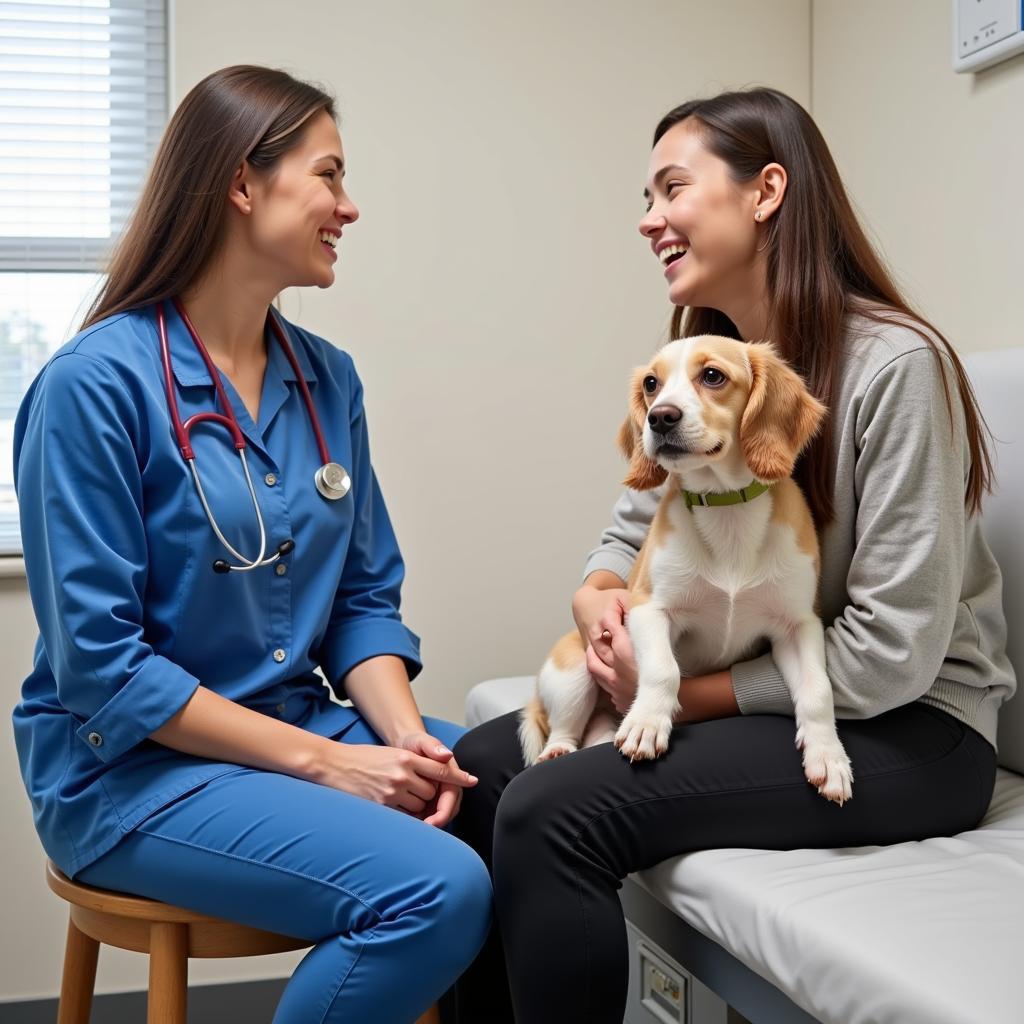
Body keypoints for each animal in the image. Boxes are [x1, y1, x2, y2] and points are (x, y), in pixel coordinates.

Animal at [520, 335, 856, 806]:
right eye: (651, 383)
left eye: (712, 375)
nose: (660, 417)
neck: (727, 509)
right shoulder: (649, 609)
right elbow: (664, 670)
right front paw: (647, 723)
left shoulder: (798, 626)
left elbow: (817, 692)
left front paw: (828, 755)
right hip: (574, 673)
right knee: (564, 727)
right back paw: (558, 751)